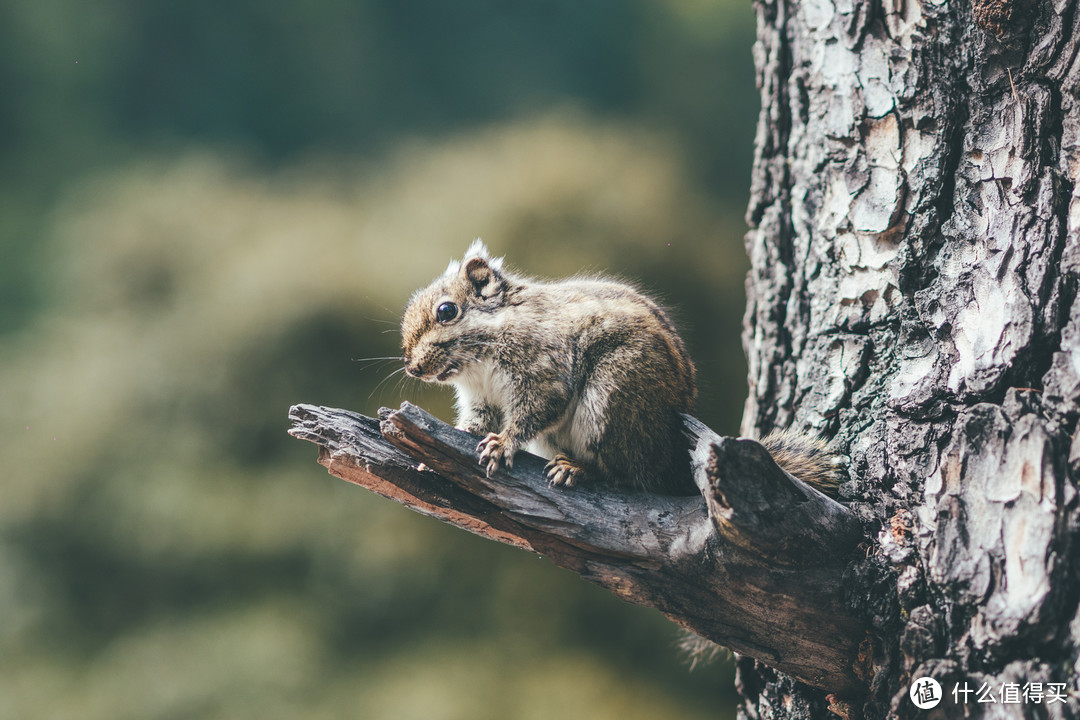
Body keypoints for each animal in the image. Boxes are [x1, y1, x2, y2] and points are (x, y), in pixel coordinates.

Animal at [403, 239, 842, 498]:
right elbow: (477, 421)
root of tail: (668, 462)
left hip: (612, 398)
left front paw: (504, 443)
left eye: (447, 311)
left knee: (627, 475)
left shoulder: (542, 369)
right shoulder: (482, 398)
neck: (479, 363)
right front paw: (443, 447)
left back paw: (578, 469)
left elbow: (535, 410)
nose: (412, 368)